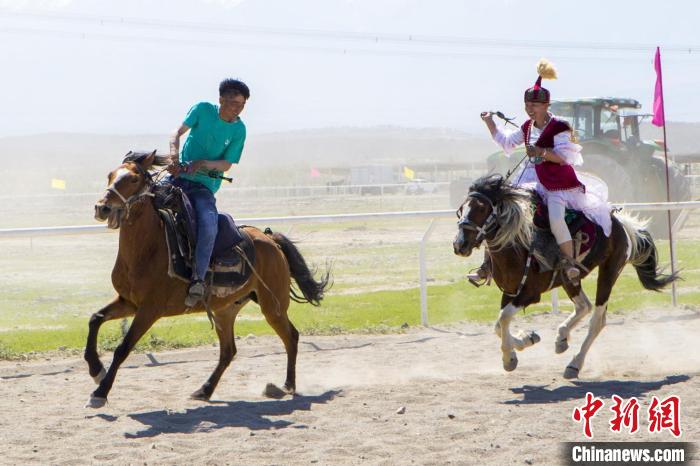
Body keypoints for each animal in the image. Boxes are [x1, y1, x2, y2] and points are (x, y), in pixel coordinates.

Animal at [86, 151, 330, 406]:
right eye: (110, 175)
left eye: (133, 179)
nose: (102, 208)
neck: (149, 248)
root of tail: (270, 239)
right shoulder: (128, 302)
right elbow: (95, 319)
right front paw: (96, 370)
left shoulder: (149, 310)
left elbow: (123, 348)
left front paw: (100, 392)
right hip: (225, 311)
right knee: (228, 351)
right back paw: (204, 389)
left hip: (273, 306)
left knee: (291, 337)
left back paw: (288, 385)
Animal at [454, 175, 680, 378]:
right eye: (461, 209)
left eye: (481, 209)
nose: (459, 245)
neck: (518, 247)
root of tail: (623, 225)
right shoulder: (510, 292)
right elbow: (498, 325)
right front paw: (527, 339)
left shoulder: (528, 294)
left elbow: (503, 319)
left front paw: (509, 359)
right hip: (569, 279)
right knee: (584, 306)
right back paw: (561, 338)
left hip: (609, 272)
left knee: (597, 320)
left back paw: (575, 364)